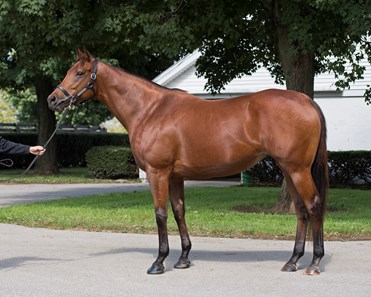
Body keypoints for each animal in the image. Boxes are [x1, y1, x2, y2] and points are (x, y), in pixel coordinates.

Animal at [46, 49, 328, 276]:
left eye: (79, 73)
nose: (52, 100)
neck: (150, 110)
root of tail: (305, 100)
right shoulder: (175, 176)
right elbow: (179, 211)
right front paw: (183, 258)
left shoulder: (157, 173)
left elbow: (160, 214)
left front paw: (159, 262)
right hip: (288, 170)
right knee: (301, 210)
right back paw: (292, 261)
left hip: (297, 170)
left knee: (313, 205)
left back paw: (314, 263)